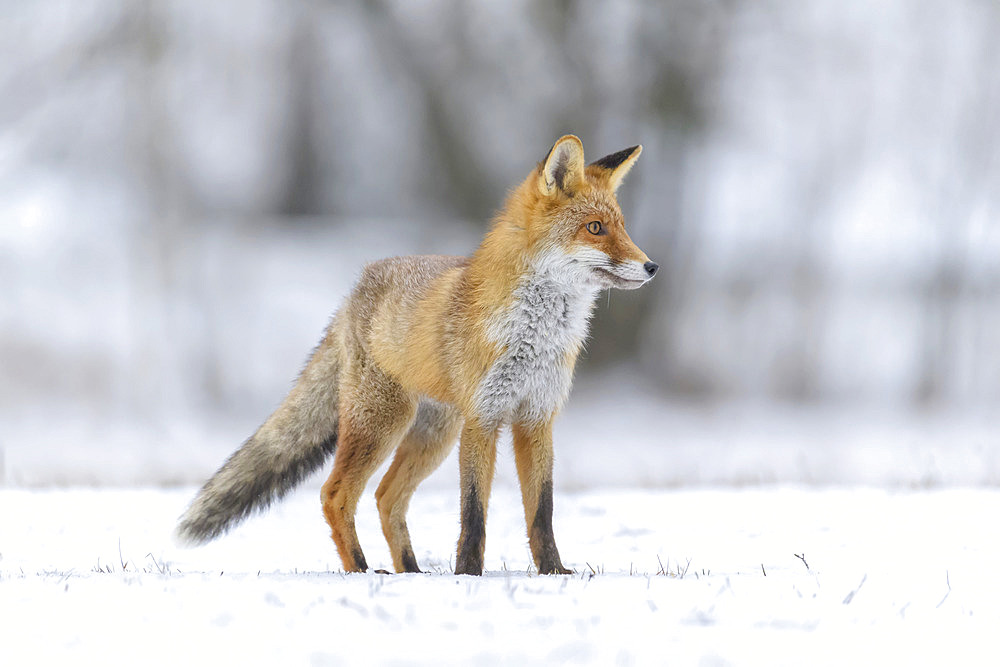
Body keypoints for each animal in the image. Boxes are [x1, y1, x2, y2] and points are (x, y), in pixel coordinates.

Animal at [176, 134, 660, 576]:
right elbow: (473, 510)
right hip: (383, 422)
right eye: (595, 228)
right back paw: (362, 570)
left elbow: (542, 511)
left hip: (432, 436)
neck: (535, 337)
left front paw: (554, 573)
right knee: (335, 494)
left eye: (622, 226)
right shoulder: (483, 417)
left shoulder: (537, 417)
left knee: (386, 497)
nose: (652, 266)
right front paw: (468, 574)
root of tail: (352, 293)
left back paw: (411, 571)